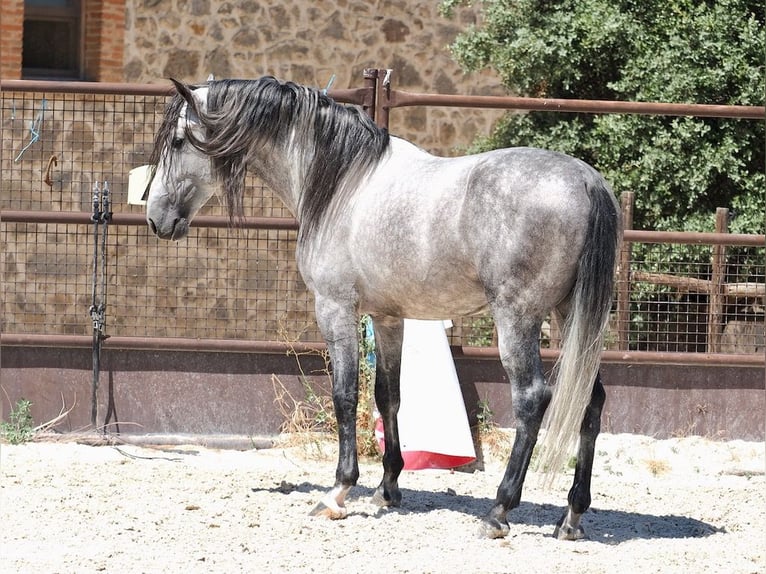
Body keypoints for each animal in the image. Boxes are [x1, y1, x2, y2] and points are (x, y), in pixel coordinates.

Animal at [145, 77, 621, 540]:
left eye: (179, 142)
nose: (156, 218)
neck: (341, 184)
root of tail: (586, 182)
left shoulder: (335, 307)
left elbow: (344, 394)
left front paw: (338, 492)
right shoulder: (388, 317)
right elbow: (387, 396)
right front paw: (388, 488)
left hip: (517, 318)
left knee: (532, 399)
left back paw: (498, 512)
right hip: (571, 318)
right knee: (590, 399)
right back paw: (571, 517)